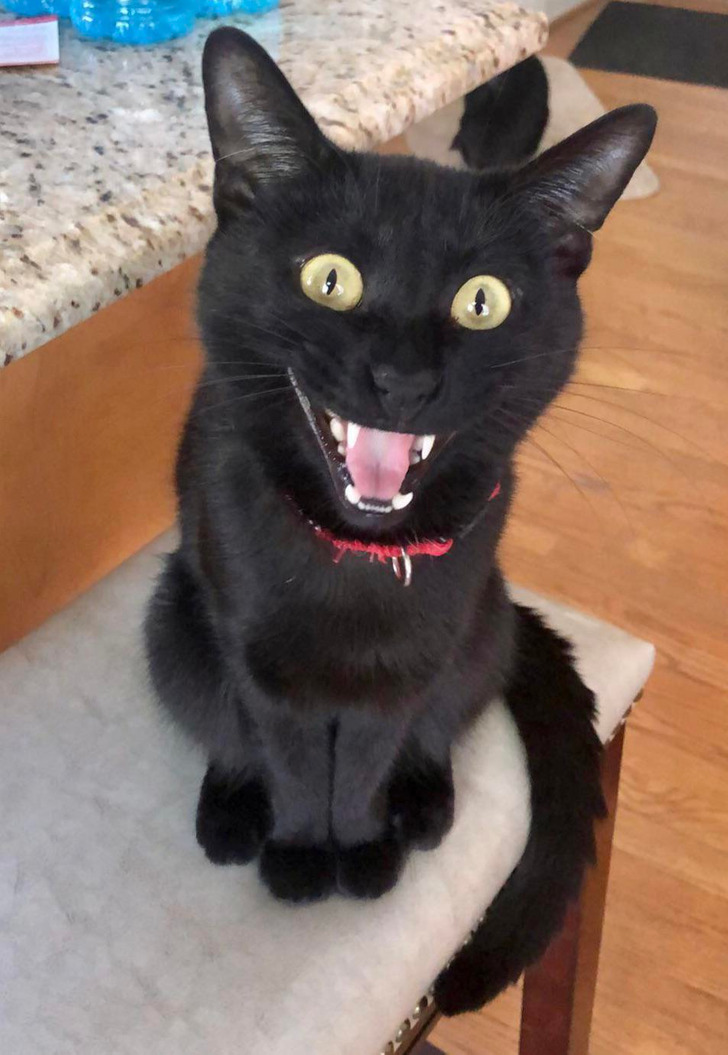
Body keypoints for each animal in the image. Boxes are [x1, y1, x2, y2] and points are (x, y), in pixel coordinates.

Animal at [144, 26, 656, 1014]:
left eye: (482, 301)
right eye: (329, 278)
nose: (403, 380)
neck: (358, 557)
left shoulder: (410, 663)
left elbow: (371, 755)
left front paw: (360, 849)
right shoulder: (265, 665)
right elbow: (288, 754)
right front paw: (301, 854)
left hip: (482, 624)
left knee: (442, 721)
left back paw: (422, 807)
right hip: (173, 622)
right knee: (219, 724)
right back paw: (231, 810)